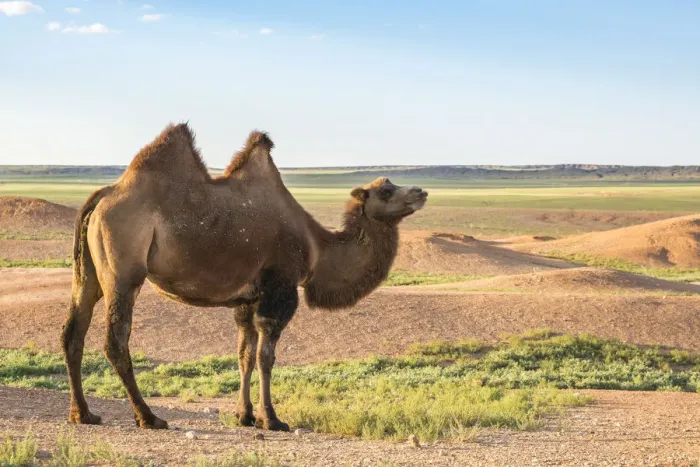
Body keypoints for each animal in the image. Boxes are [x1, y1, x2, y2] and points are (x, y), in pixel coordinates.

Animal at [61, 123, 428, 431]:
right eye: (385, 192)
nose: (421, 192)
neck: (318, 246)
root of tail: (104, 195)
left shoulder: (248, 297)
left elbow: (245, 354)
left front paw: (245, 415)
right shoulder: (279, 288)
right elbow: (266, 356)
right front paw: (272, 419)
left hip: (89, 274)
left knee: (74, 331)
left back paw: (84, 414)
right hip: (124, 270)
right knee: (116, 340)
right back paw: (149, 417)